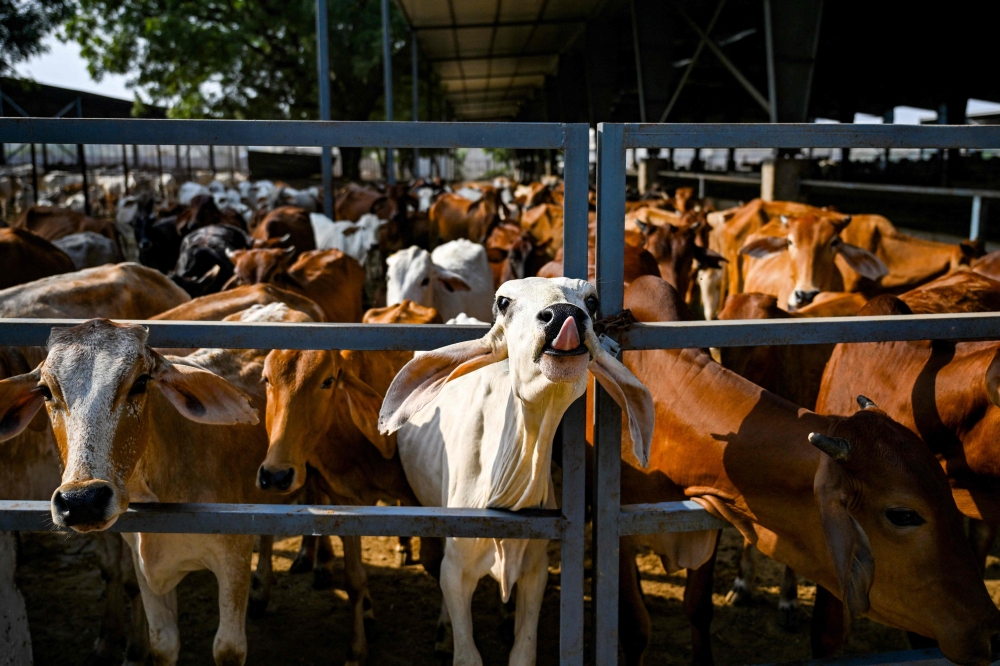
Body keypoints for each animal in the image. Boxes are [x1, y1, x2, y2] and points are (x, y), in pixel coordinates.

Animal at [378, 276, 652, 664]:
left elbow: (523, 652)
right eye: (504, 302)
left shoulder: (535, 571)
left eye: (592, 300)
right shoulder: (456, 569)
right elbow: (467, 653)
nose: (564, 315)